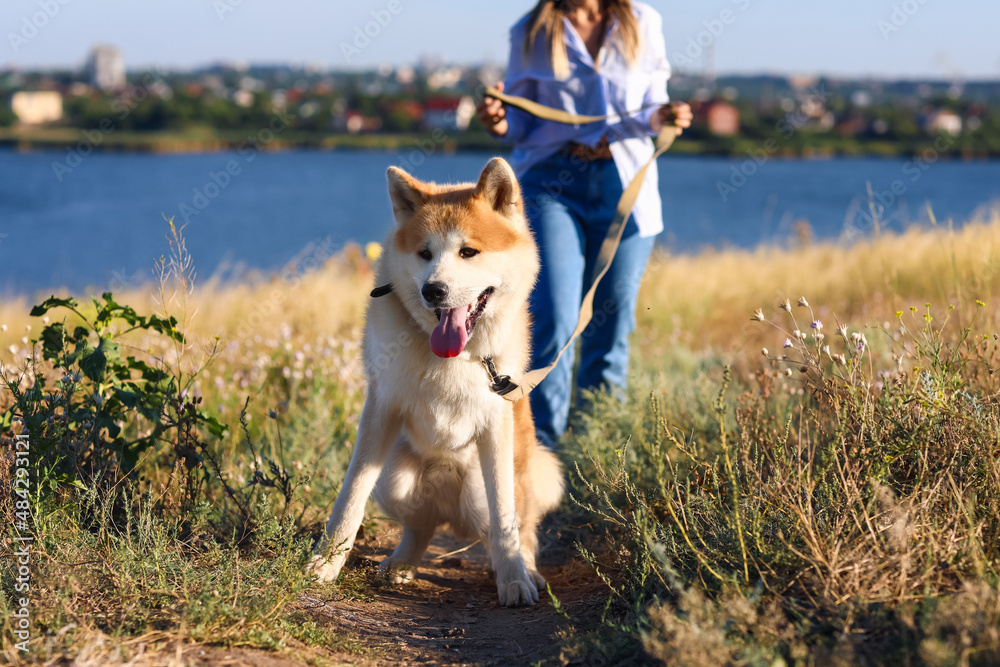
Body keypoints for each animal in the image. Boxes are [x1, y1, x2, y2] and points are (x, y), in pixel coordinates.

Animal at [308, 159, 568, 608]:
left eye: (468, 252)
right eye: (424, 254)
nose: (434, 290)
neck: (454, 358)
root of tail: (453, 514)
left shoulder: (496, 421)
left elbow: (505, 519)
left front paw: (514, 579)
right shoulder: (382, 407)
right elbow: (350, 499)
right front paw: (326, 563)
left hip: (495, 485)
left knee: (521, 526)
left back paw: (528, 569)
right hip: (394, 477)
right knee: (422, 526)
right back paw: (402, 563)